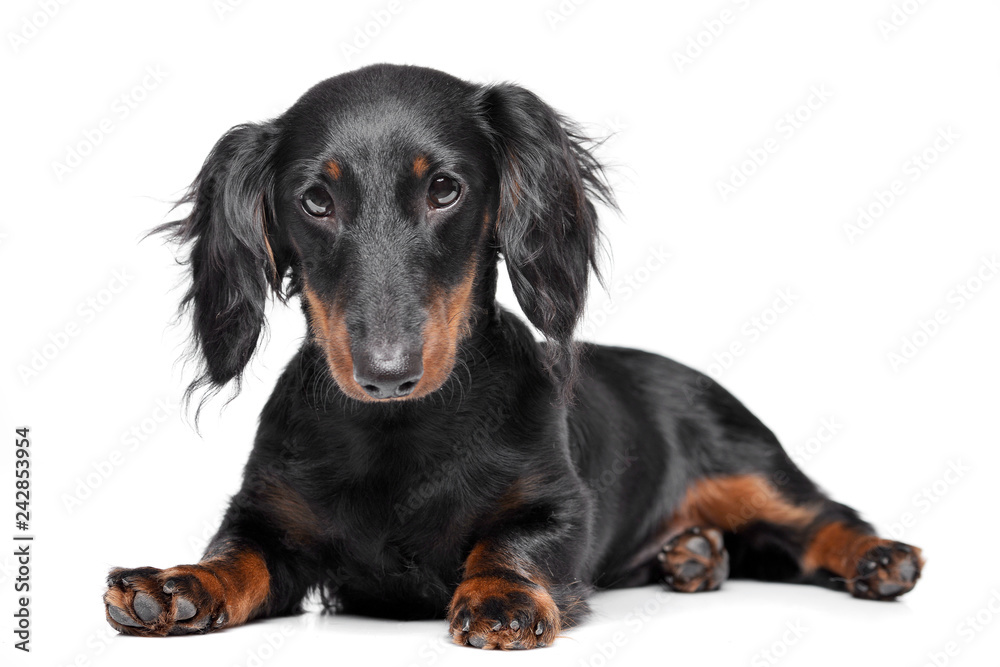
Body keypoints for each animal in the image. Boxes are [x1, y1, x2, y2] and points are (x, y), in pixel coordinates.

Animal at [101, 65, 920, 648]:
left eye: (444, 189)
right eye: (315, 201)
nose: (386, 373)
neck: (398, 434)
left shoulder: (560, 504)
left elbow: (512, 541)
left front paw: (502, 595)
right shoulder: (267, 516)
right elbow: (237, 555)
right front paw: (176, 585)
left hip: (749, 462)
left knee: (821, 518)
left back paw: (876, 559)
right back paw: (693, 555)